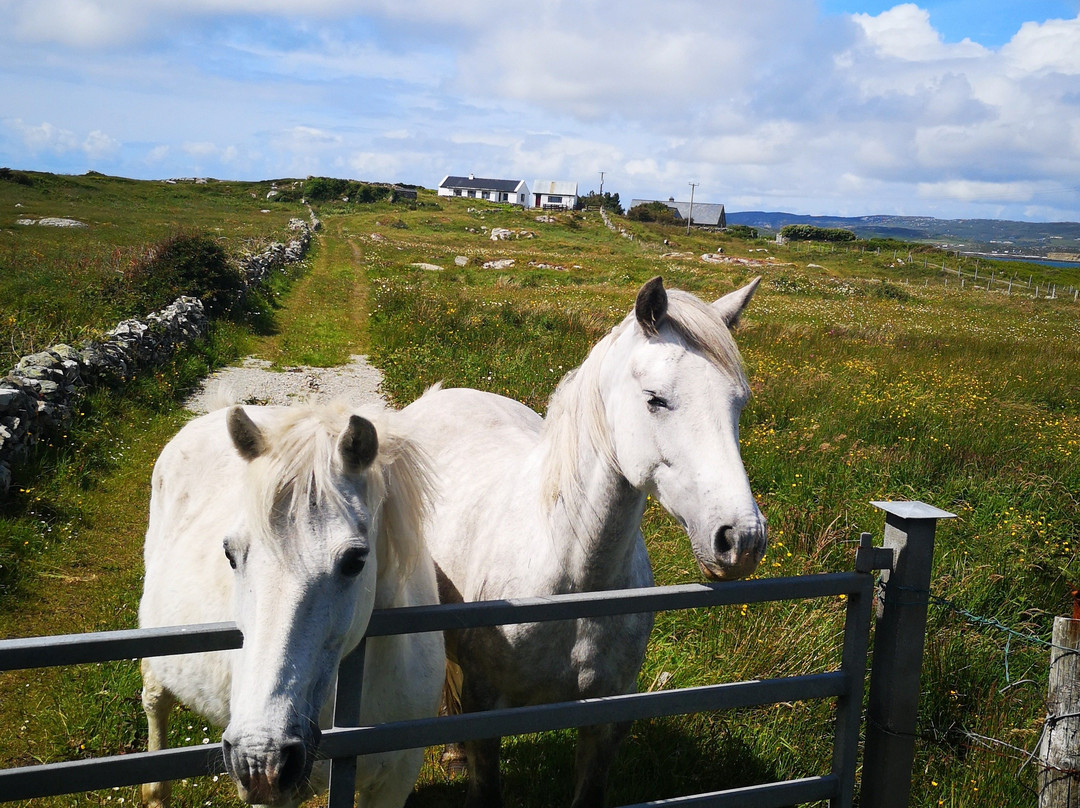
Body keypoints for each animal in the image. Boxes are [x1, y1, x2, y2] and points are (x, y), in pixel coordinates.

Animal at [399, 278, 768, 808]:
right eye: (656, 399)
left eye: (738, 403)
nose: (741, 539)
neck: (574, 582)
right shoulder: (487, 710)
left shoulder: (604, 722)